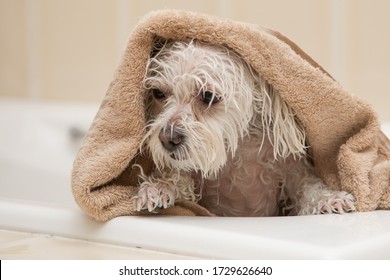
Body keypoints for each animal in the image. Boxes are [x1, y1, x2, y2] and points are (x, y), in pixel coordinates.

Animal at [131, 39, 356, 215]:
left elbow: (308, 186)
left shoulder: (291, 167)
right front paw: (157, 187)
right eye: (158, 93)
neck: (235, 152)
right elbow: (178, 178)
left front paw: (329, 199)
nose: (168, 138)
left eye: (208, 96)